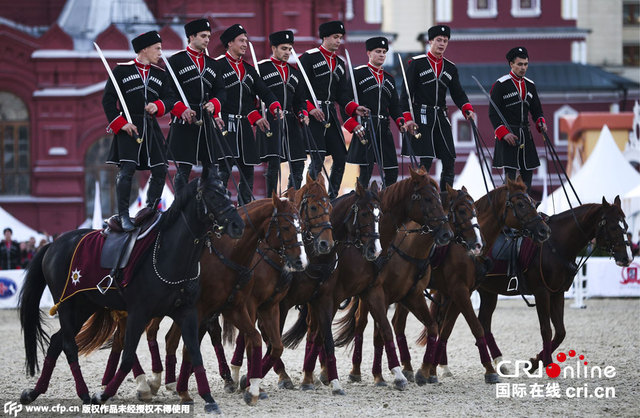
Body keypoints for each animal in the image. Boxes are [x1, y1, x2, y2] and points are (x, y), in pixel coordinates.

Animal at [19, 171, 245, 414]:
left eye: (227, 192)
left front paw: (209, 399)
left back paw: (35, 392)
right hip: (67, 306)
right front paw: (103, 395)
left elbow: (195, 352)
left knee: (55, 342)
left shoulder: (187, 312)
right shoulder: (139, 313)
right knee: (69, 346)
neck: (169, 254)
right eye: (212, 195)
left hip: (84, 306)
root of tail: (53, 244)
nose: (238, 225)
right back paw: (84, 394)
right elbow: (127, 357)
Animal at [472, 196, 632, 372]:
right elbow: (546, 330)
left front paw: (534, 362)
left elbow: (560, 332)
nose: (627, 258)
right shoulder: (542, 292)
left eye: (625, 225)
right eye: (613, 226)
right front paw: (547, 364)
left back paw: (498, 363)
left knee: (484, 324)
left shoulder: (557, 293)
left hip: (488, 292)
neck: (556, 245)